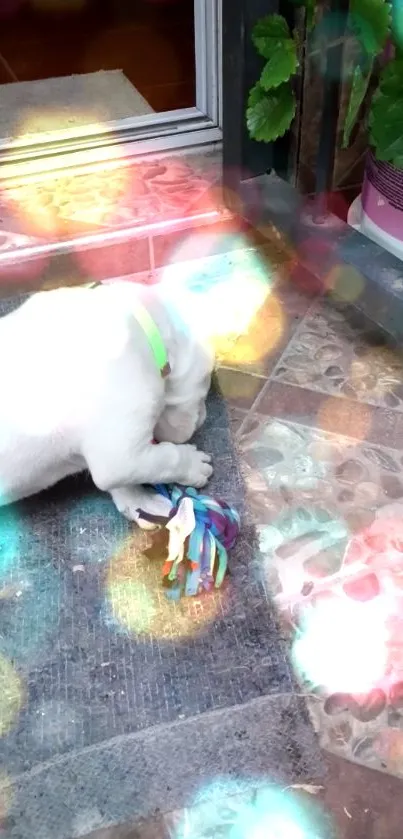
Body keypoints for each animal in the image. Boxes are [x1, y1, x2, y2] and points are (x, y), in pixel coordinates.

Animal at [0, 282, 215, 524]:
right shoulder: (119, 457)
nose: (203, 418)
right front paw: (192, 465)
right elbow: (163, 460)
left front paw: (140, 503)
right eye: (203, 395)